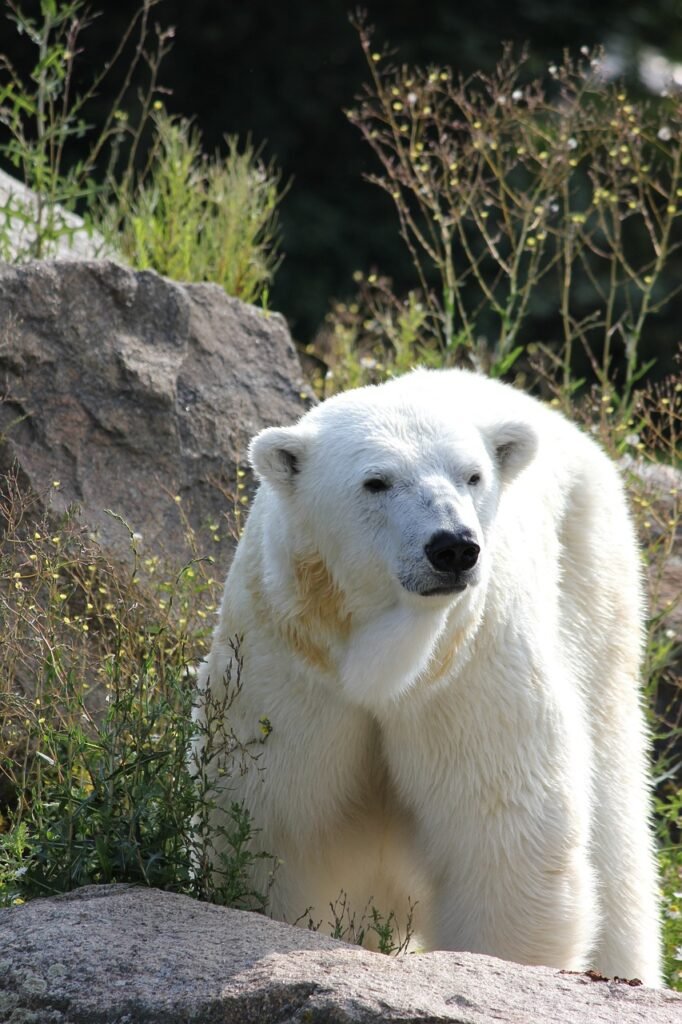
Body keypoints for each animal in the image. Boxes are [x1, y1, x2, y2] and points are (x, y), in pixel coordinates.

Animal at [195, 367, 662, 986]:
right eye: (376, 481)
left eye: (473, 475)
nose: (454, 547)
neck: (384, 661)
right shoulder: (287, 668)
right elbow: (277, 822)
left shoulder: (466, 672)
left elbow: (500, 829)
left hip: (592, 581)